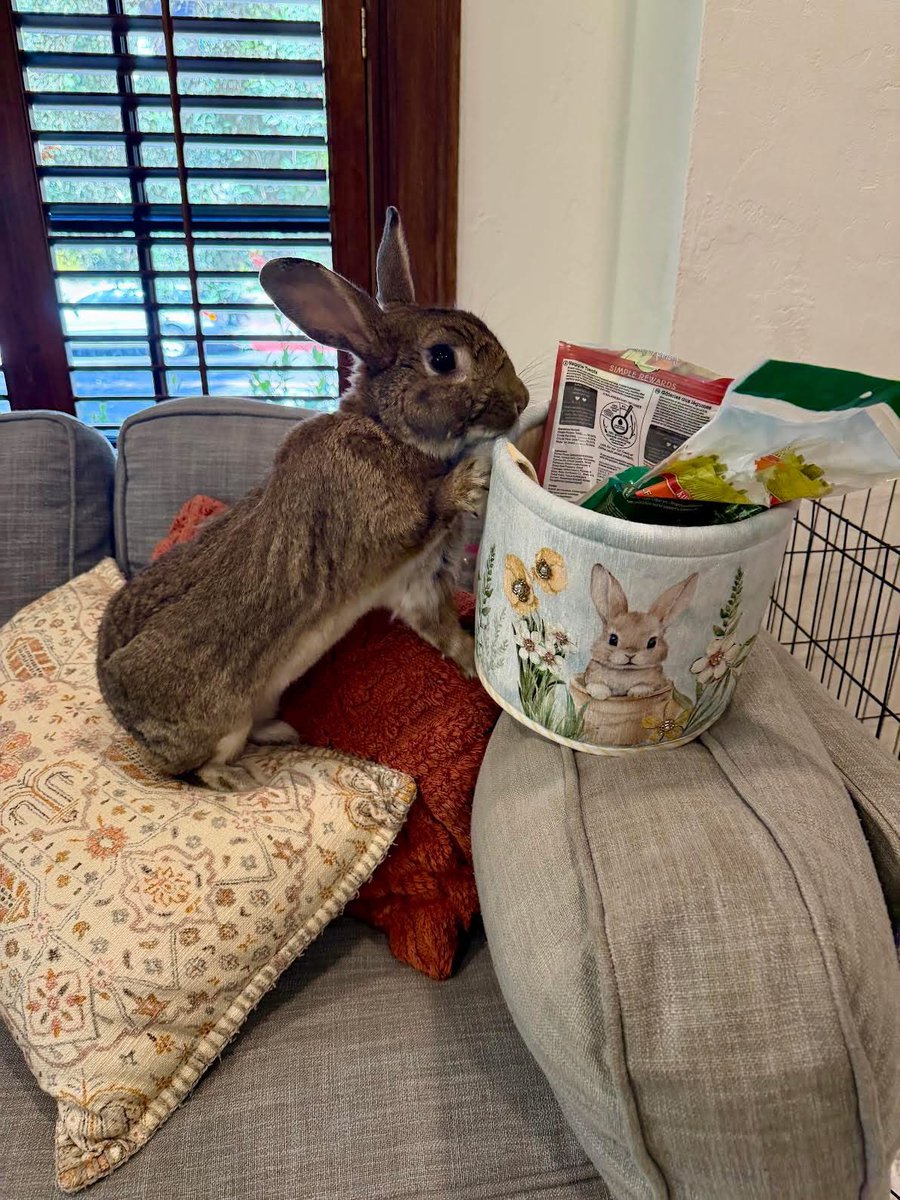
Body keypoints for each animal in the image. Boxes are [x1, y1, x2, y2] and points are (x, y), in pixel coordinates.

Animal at [96, 207, 529, 791]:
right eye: (443, 358)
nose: (522, 401)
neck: (388, 430)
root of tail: (121, 715)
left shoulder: (417, 584)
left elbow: (443, 632)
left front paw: (473, 663)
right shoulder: (394, 532)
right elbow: (430, 513)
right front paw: (472, 477)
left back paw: (283, 732)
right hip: (217, 725)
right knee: (197, 767)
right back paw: (236, 780)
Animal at [583, 564, 698, 700]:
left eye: (652, 642)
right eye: (613, 639)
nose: (630, 654)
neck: (626, 671)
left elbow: (644, 686)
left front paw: (637, 693)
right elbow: (596, 685)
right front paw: (600, 694)